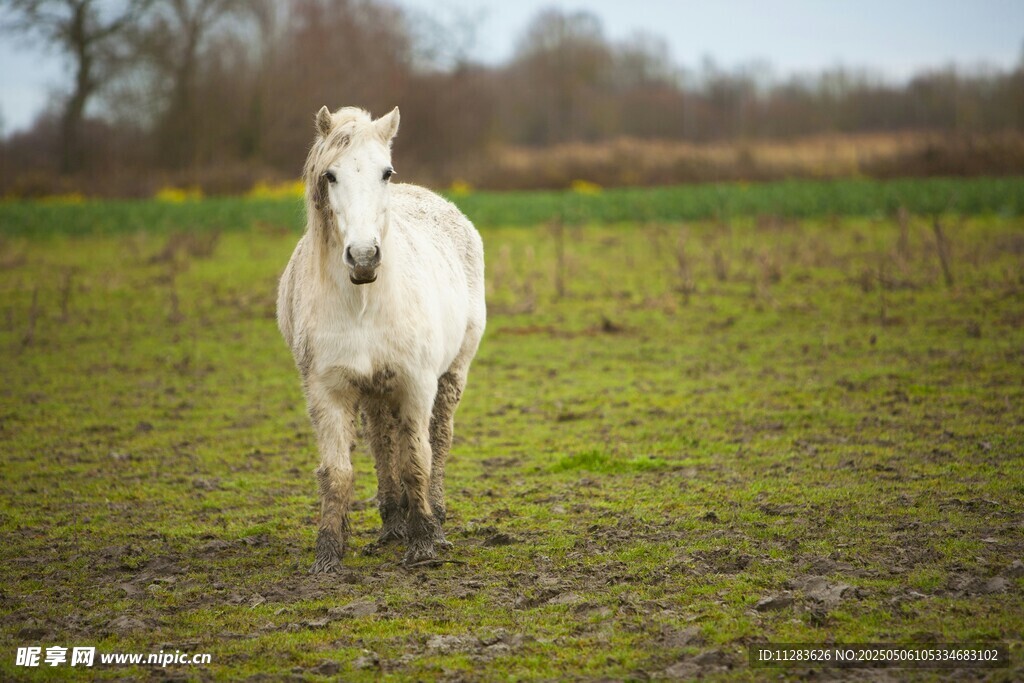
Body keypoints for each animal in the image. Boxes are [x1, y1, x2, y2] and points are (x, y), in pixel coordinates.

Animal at [276, 105, 486, 569]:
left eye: (385, 172)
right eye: (331, 175)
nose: (364, 257)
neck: (364, 302)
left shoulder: (416, 383)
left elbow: (417, 461)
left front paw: (424, 544)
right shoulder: (327, 391)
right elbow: (337, 472)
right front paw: (328, 554)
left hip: (452, 374)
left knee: (438, 440)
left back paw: (434, 518)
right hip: (373, 391)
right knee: (382, 442)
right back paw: (392, 523)